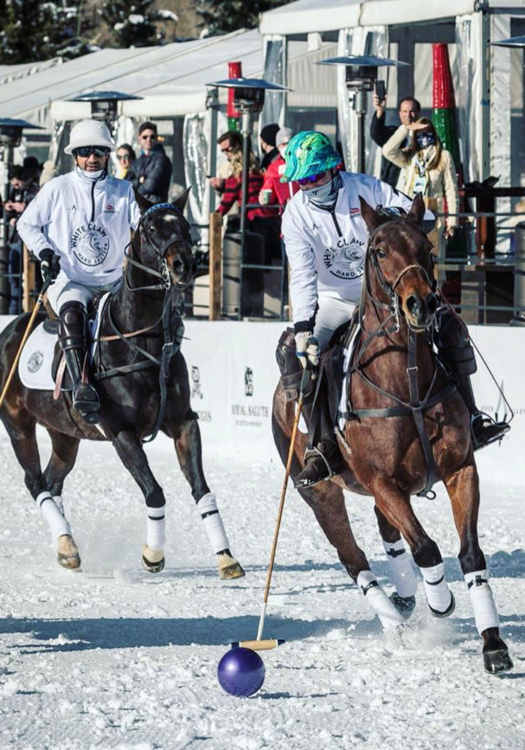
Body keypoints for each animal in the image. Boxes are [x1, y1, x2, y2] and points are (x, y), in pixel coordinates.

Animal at [0, 189, 245, 580]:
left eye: (184, 224)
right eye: (150, 227)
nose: (184, 266)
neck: (142, 339)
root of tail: (9, 330)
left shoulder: (183, 422)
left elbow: (201, 488)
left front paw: (225, 557)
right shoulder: (121, 432)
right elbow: (155, 492)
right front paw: (153, 554)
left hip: (65, 433)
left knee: (53, 481)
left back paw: (66, 545)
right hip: (17, 423)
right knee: (35, 482)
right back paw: (67, 546)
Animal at [274, 194, 512, 676]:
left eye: (426, 245)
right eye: (379, 250)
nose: (420, 304)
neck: (407, 384)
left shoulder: (460, 469)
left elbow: (470, 553)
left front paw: (494, 644)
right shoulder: (383, 482)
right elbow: (426, 548)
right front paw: (440, 603)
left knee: (388, 536)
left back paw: (404, 601)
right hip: (320, 491)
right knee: (353, 558)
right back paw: (395, 623)